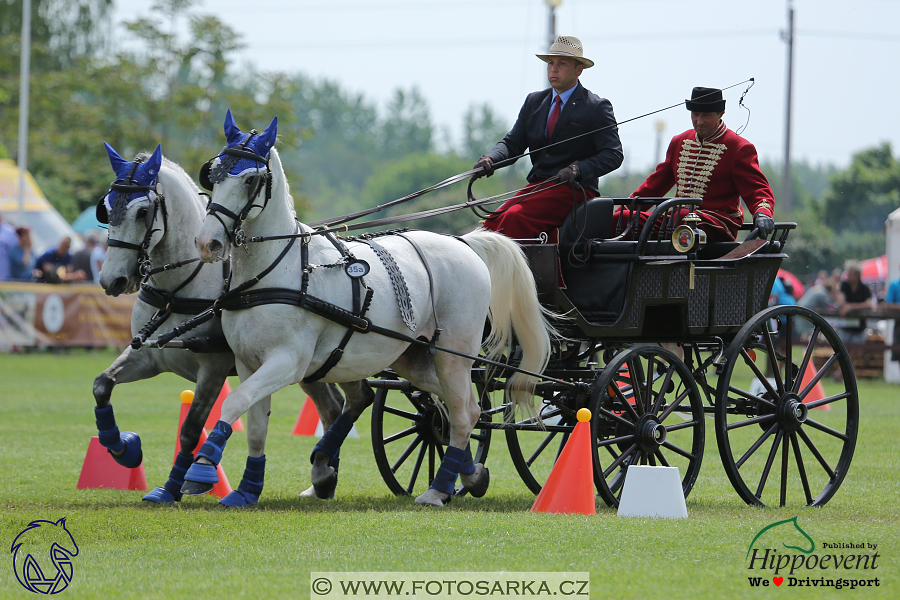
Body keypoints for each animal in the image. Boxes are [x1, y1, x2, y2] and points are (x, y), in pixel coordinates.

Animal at [92, 143, 344, 504]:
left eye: (142, 212)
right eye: (107, 207)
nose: (112, 280)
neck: (179, 289)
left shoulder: (212, 367)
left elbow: (191, 428)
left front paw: (179, 484)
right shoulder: (148, 357)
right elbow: (102, 385)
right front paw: (124, 449)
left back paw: (324, 473)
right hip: (312, 366)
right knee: (335, 406)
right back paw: (323, 478)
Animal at [188, 111, 556, 506]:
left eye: (251, 179)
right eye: (213, 173)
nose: (207, 242)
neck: (274, 273)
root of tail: (464, 242)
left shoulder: (287, 362)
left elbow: (232, 403)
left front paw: (201, 471)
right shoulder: (248, 363)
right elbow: (255, 425)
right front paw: (245, 490)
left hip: (453, 354)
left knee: (460, 411)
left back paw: (438, 489)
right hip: (413, 356)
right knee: (463, 408)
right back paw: (470, 475)